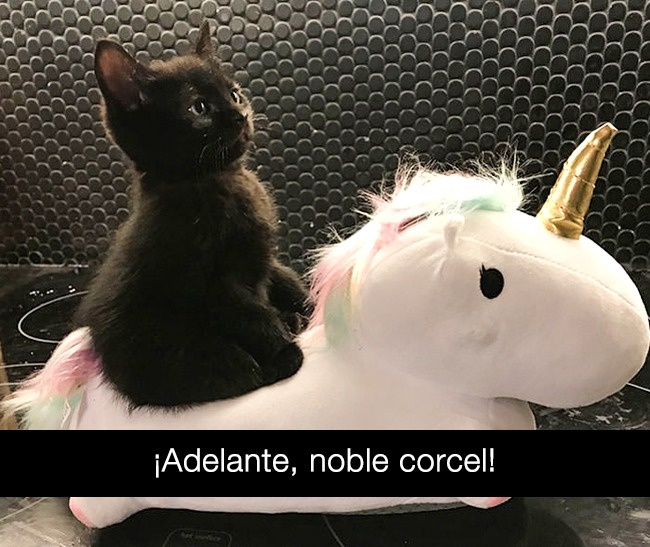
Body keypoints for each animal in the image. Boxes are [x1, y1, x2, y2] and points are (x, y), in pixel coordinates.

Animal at [75, 22, 310, 408]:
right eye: (199, 107)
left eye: (234, 94)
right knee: (239, 370)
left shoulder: (264, 259)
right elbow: (252, 316)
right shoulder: (216, 286)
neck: (219, 181)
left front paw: (307, 305)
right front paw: (283, 345)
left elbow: (286, 279)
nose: (241, 115)